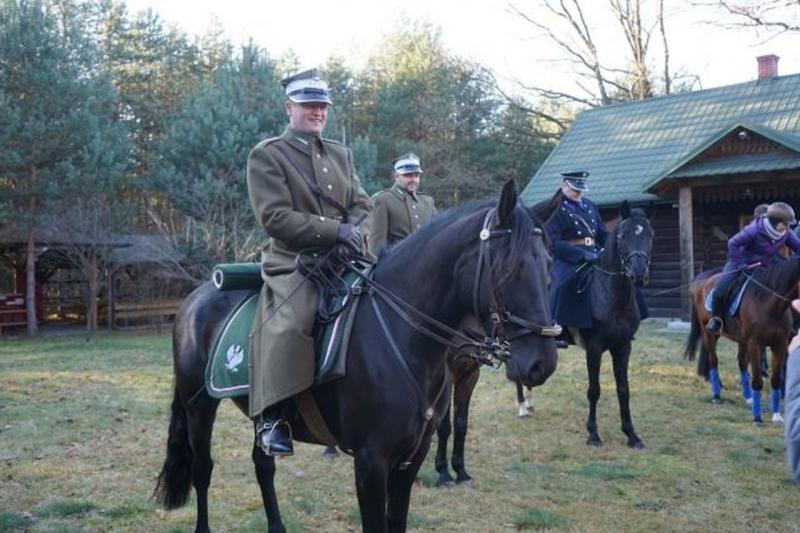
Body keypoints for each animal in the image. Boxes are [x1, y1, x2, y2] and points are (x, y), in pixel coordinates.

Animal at [153, 180, 560, 532]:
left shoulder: (410, 458)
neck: (403, 334)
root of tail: (196, 297)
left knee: (262, 466)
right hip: (200, 407)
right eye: (509, 268)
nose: (542, 363)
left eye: (549, 265)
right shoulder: (370, 462)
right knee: (203, 470)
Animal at [572, 201, 652, 444]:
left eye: (650, 235)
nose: (638, 273)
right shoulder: (594, 348)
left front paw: (631, 433)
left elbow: (623, 389)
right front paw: (593, 433)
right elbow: (594, 390)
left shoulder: (623, 346)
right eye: (624, 235)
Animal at [680, 258, 800, 424]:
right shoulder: (755, 344)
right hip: (709, 333)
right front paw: (757, 418)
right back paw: (717, 395)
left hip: (741, 340)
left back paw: (749, 398)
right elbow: (757, 380)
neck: (769, 303)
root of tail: (700, 281)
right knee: (713, 360)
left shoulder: (780, 345)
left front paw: (776, 415)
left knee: (742, 363)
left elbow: (776, 379)